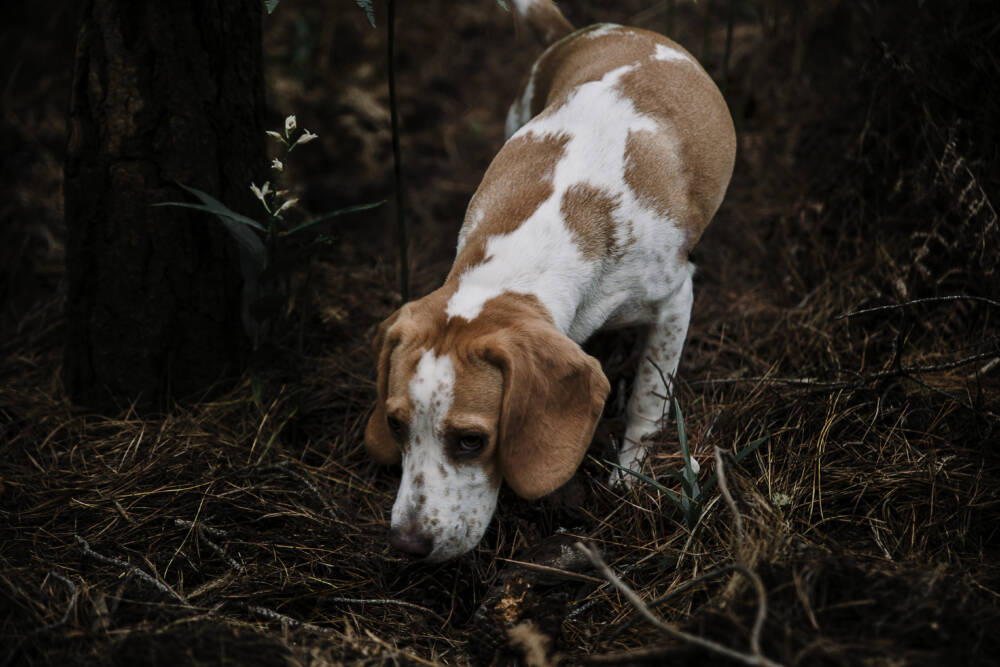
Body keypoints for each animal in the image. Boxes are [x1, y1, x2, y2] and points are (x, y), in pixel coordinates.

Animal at [366, 0, 736, 560]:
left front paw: (631, 475)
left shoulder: (676, 298)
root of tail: (590, 30)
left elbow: (649, 397)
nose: (406, 545)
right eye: (394, 424)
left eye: (471, 440)